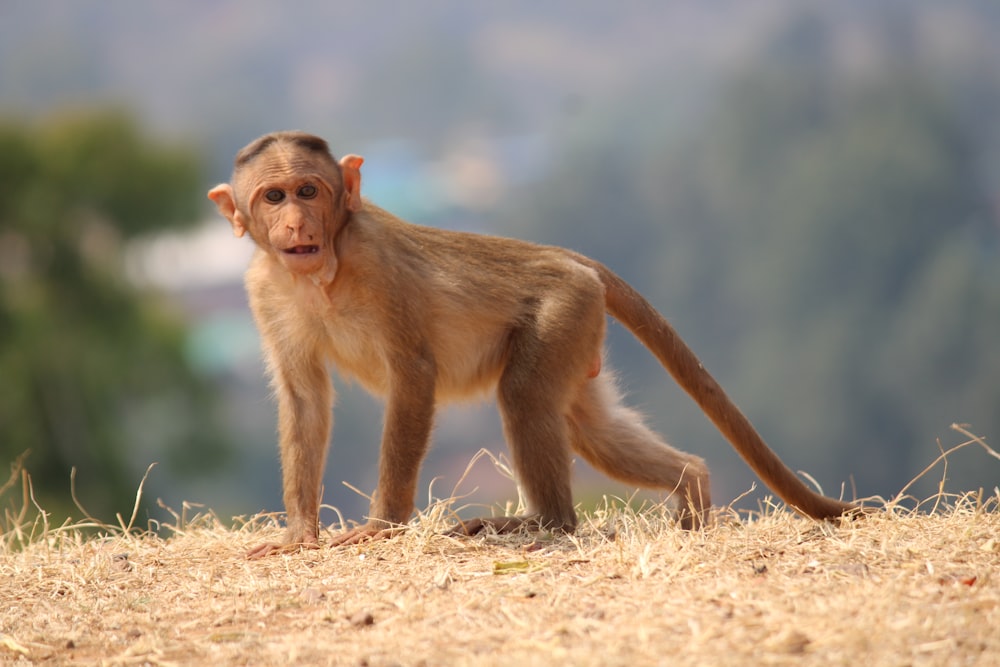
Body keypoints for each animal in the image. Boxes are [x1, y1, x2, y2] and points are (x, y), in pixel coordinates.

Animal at [207, 130, 856, 560]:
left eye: (308, 190)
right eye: (273, 198)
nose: (296, 225)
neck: (323, 273)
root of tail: (568, 259)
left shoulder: (377, 264)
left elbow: (414, 375)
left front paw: (382, 525)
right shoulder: (263, 290)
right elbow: (304, 398)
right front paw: (299, 533)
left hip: (562, 311)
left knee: (524, 397)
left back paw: (546, 524)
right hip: (581, 331)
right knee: (590, 426)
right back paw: (690, 487)